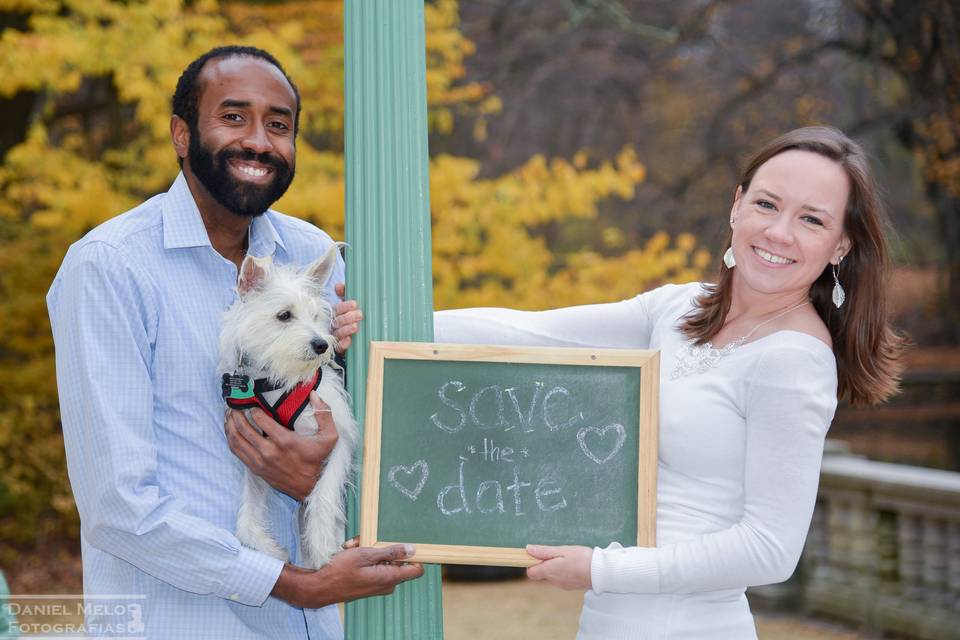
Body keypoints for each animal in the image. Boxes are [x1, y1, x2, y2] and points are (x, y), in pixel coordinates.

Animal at [218, 242, 360, 568]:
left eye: (316, 315)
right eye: (284, 315)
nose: (322, 344)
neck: (277, 380)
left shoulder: (339, 439)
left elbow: (324, 494)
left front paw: (322, 547)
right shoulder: (257, 456)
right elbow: (247, 516)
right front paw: (271, 551)